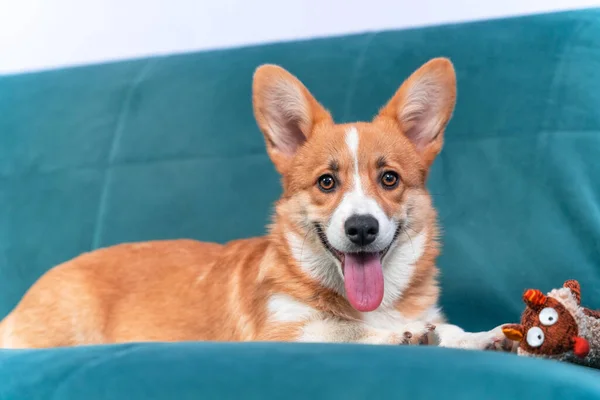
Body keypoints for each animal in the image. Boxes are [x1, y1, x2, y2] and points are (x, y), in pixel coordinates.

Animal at [0, 57, 512, 348]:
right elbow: (343, 331)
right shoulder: (284, 331)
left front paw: (485, 337)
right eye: (327, 182)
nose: (362, 228)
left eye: (389, 179)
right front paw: (400, 336)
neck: (371, 304)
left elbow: (451, 332)